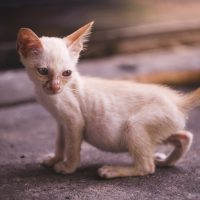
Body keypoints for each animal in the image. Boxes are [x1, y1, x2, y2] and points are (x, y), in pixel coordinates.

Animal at [16, 21, 198, 178]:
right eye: (43, 71)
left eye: (67, 73)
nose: (55, 87)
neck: (49, 96)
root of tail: (178, 101)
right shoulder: (61, 122)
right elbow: (60, 143)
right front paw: (54, 159)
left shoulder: (74, 120)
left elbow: (72, 148)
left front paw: (68, 167)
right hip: (160, 128)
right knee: (185, 136)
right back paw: (166, 161)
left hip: (134, 126)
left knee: (147, 167)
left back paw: (113, 171)